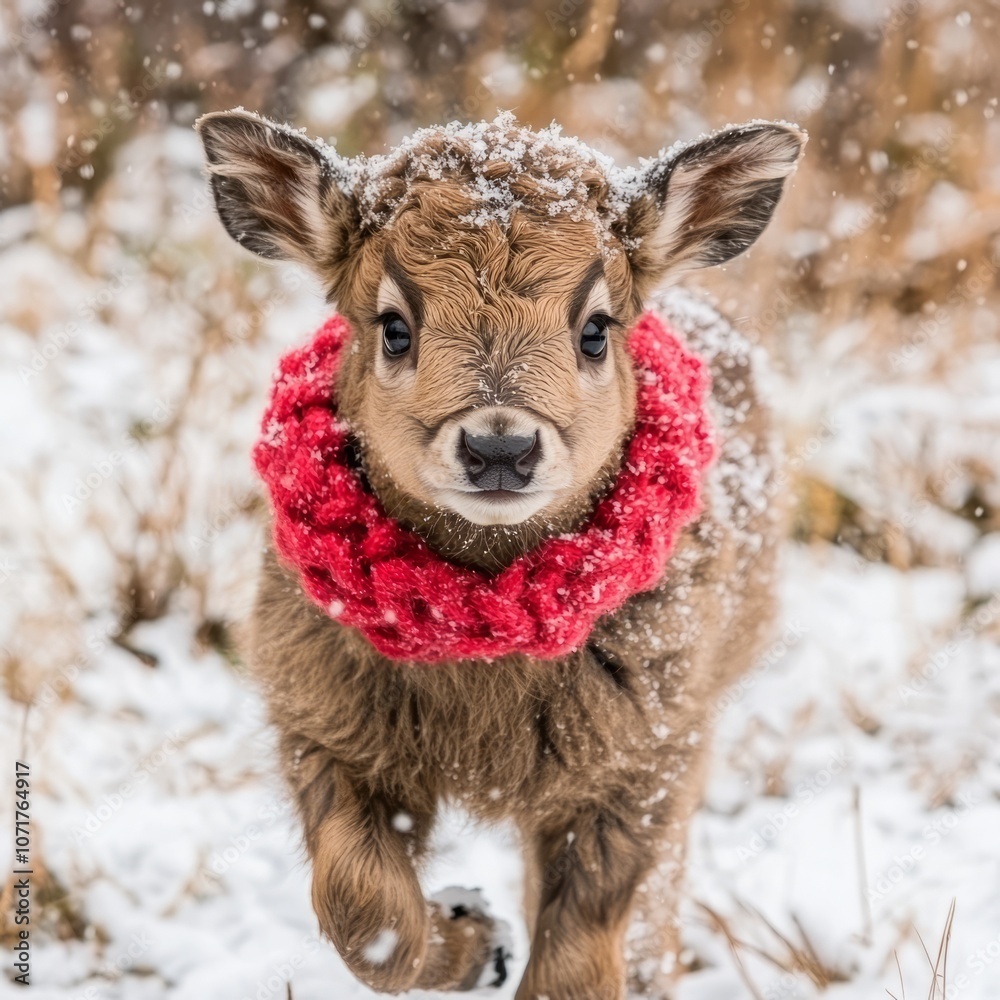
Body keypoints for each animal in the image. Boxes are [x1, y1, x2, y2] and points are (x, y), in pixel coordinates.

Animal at [196, 108, 805, 1000]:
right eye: (394, 327)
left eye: (594, 329)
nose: (499, 448)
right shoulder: (320, 719)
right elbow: (362, 910)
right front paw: (478, 940)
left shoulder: (645, 752)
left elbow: (582, 952)